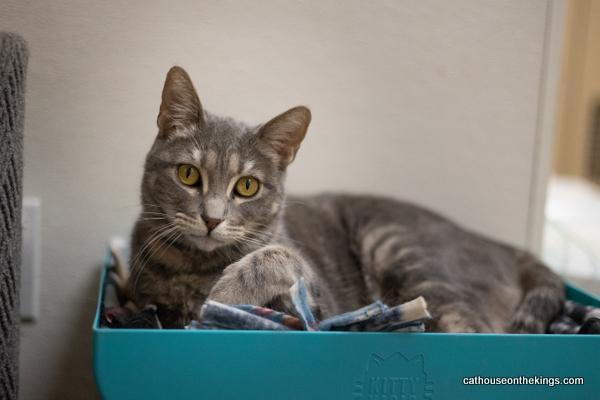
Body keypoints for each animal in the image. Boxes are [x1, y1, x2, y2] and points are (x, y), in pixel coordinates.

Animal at [126, 67, 564, 332]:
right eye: (188, 175)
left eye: (247, 186)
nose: (212, 218)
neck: (195, 268)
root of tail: (504, 247)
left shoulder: (317, 313)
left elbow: (279, 256)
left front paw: (226, 291)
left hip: (398, 247)